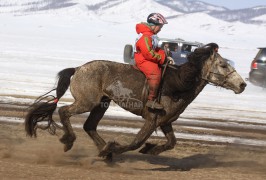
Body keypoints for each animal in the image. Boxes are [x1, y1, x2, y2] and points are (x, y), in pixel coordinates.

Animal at [25, 43, 245, 160]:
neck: (178, 83)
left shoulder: (165, 122)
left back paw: (104, 152)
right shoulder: (152, 120)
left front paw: (151, 149)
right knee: (64, 111)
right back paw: (71, 141)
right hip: (87, 102)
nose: (242, 85)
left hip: (102, 104)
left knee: (90, 126)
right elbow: (135, 142)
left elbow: (172, 142)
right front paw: (115, 148)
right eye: (223, 65)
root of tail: (78, 69)